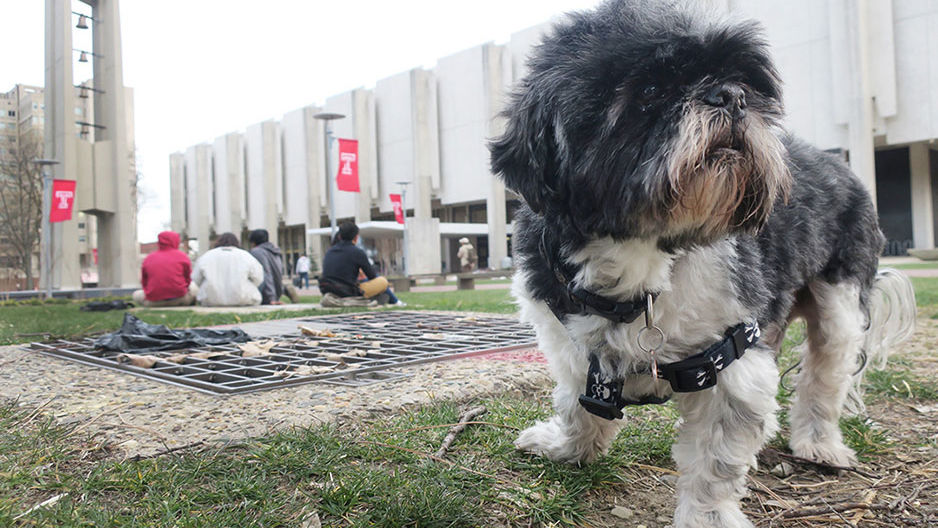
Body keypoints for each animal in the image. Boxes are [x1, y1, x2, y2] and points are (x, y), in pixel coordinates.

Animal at [490, 1, 916, 528]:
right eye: (650, 90)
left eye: (746, 85)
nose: (731, 97)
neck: (647, 262)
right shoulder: (569, 343)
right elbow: (576, 402)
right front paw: (567, 447)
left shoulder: (732, 361)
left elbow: (716, 460)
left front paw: (708, 515)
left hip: (840, 300)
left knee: (825, 376)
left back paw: (819, 443)